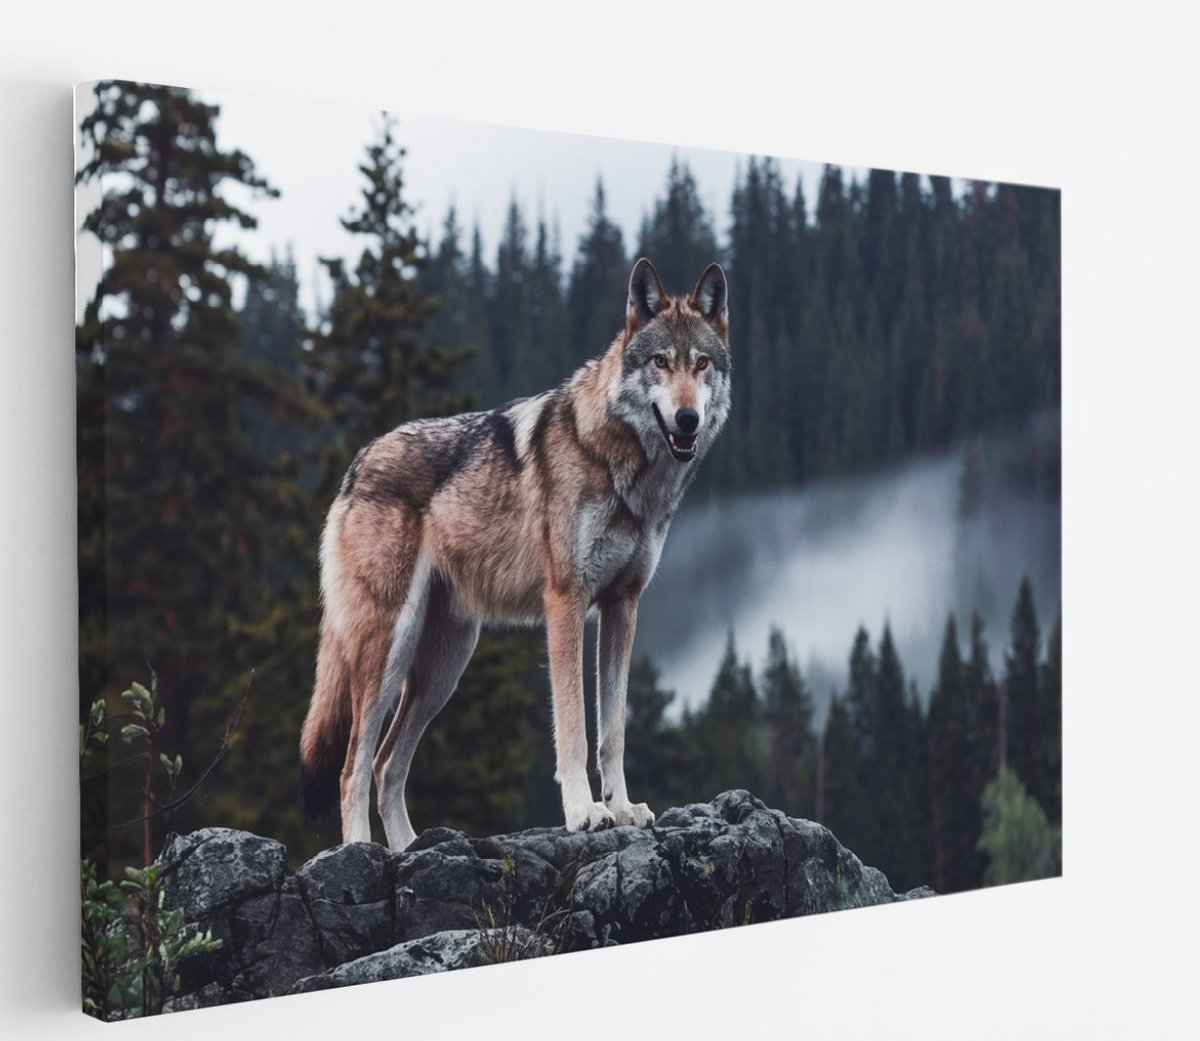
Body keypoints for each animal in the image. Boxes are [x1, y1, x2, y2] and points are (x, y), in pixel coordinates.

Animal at [299, 257, 731, 850]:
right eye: (661, 362)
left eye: (701, 363)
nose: (687, 419)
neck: (622, 465)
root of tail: (357, 462)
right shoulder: (565, 602)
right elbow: (574, 728)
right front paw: (584, 813)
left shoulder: (623, 605)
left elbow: (613, 730)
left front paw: (623, 808)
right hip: (389, 649)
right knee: (353, 767)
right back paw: (361, 852)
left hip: (443, 670)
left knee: (387, 765)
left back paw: (409, 851)